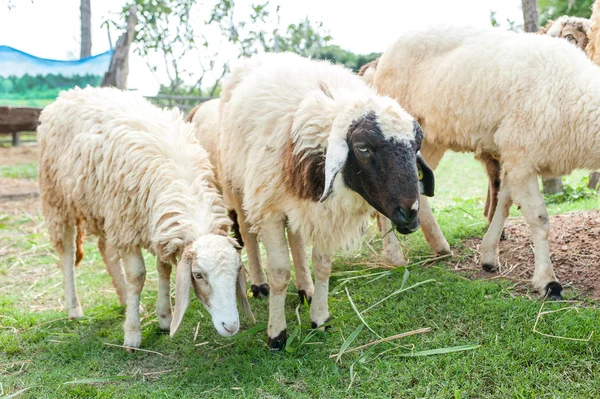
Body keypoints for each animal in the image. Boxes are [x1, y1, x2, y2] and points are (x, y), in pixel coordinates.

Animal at [37, 86, 253, 348]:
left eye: (237, 271)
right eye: (198, 275)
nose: (230, 326)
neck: (182, 183)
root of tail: (69, 94)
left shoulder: (156, 227)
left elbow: (163, 270)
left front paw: (164, 317)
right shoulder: (128, 228)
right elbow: (138, 276)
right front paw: (132, 334)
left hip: (105, 211)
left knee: (105, 250)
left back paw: (124, 299)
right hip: (57, 199)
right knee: (67, 253)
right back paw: (74, 308)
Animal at [218, 52, 434, 350]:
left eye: (416, 147)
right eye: (362, 148)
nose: (410, 214)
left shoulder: (324, 214)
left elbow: (322, 267)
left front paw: (319, 318)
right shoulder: (270, 209)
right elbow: (280, 273)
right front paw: (277, 334)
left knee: (296, 239)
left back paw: (305, 288)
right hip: (238, 186)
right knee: (248, 233)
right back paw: (259, 284)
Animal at [370, 25, 600, 300]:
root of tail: (387, 52)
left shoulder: (514, 156)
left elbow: (504, 204)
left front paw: (489, 256)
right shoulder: (521, 153)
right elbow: (539, 219)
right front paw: (548, 282)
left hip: (430, 138)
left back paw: (440, 246)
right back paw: (394, 255)